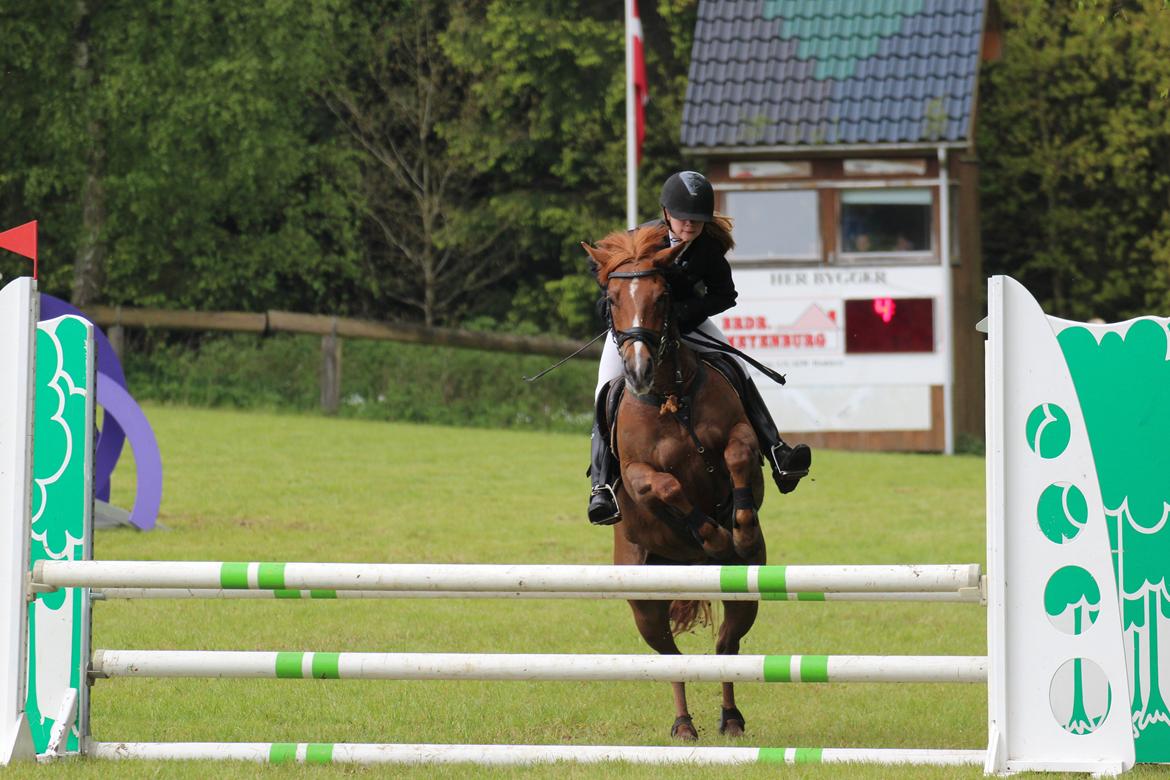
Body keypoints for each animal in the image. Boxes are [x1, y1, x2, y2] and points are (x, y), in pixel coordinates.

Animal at [582, 224, 767, 739]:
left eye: (664, 296)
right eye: (611, 299)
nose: (637, 371)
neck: (670, 395)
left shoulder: (739, 435)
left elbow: (738, 456)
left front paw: (739, 531)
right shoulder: (639, 475)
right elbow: (666, 487)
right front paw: (715, 535)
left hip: (745, 589)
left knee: (726, 648)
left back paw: (731, 719)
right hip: (645, 602)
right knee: (670, 658)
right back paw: (684, 725)